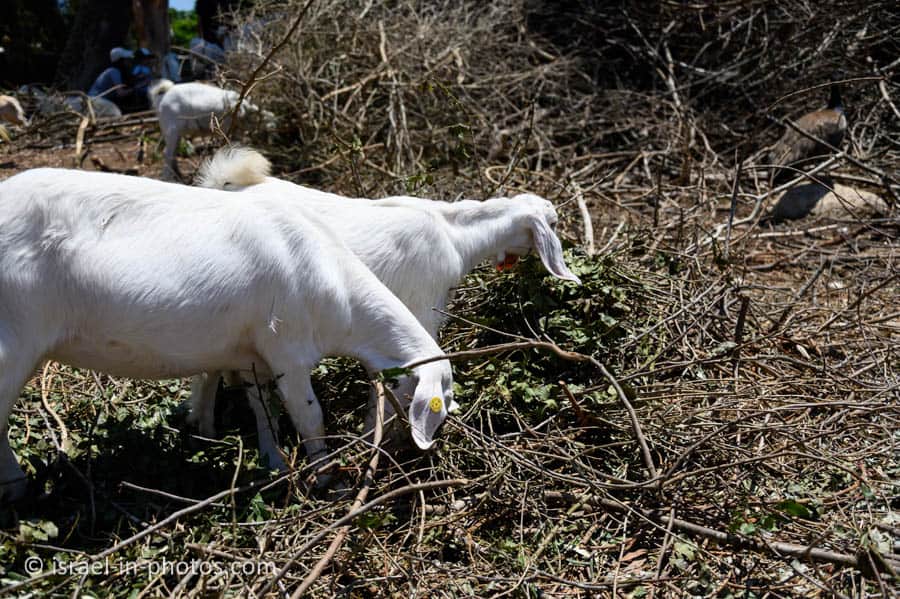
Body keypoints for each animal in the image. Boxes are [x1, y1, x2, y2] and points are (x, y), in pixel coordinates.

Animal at [0, 168, 453, 502]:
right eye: (439, 401)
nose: (402, 450)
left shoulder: (253, 354)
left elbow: (263, 409)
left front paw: (273, 462)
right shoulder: (287, 349)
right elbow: (308, 415)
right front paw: (328, 479)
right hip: (13, 344)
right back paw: (15, 489)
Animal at [192, 146, 580, 460]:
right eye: (553, 222)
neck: (453, 234)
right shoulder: (419, 315)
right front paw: (374, 442)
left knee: (211, 372)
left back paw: (204, 430)